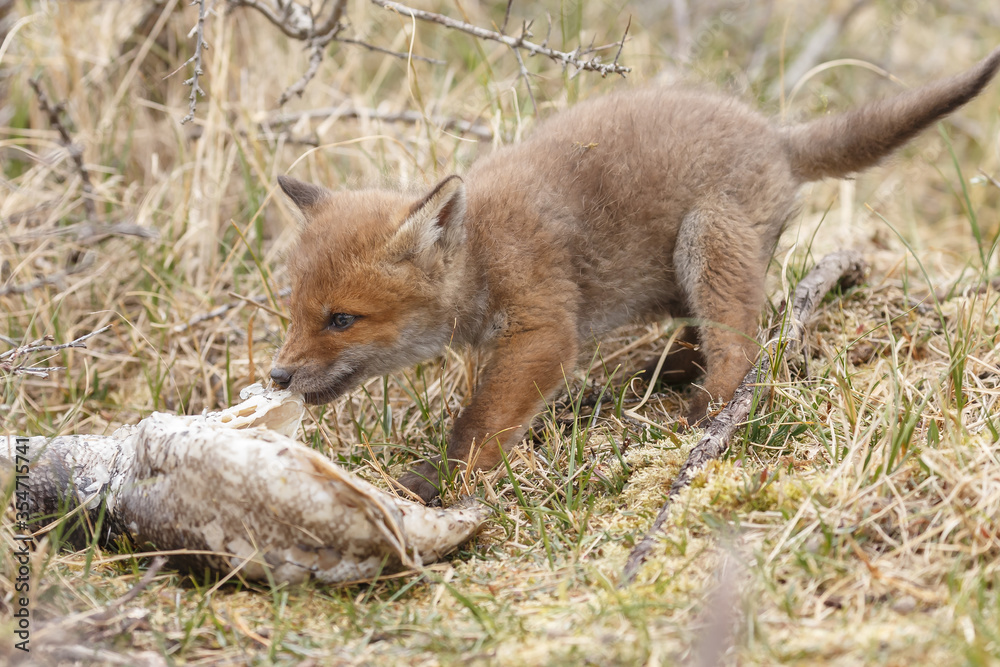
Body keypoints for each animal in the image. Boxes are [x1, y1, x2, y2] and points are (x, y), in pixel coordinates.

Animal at [270, 48, 1000, 503]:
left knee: (741, 344)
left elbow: (477, 423)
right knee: (711, 334)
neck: (481, 251)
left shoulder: (542, 331)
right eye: (296, 311)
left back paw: (703, 414)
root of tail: (775, 134)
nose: (276, 375)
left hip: (704, 238)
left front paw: (443, 488)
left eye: (342, 319)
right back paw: (662, 374)